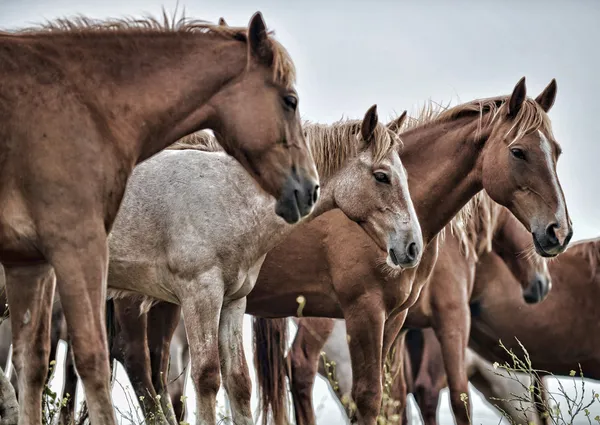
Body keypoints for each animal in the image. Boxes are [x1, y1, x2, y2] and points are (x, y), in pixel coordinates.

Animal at [104, 102, 422, 424]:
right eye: (381, 176)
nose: (412, 246)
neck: (229, 198)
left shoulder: (232, 301)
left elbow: (239, 381)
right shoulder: (200, 296)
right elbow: (206, 376)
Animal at [284, 193, 552, 424]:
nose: (542, 284)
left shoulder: (402, 328)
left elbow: (398, 397)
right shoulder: (451, 316)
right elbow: (451, 396)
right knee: (300, 363)